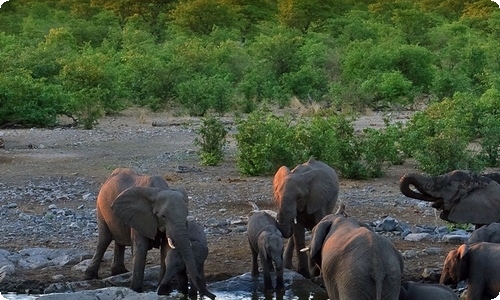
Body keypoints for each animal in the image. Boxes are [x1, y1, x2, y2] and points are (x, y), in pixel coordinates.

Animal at [83, 168, 215, 298]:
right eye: (163, 216)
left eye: (186, 215)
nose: (213, 296)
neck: (159, 191)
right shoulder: (140, 216)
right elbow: (140, 248)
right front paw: (136, 290)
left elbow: (165, 250)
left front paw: (164, 291)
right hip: (100, 207)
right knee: (104, 240)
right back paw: (89, 275)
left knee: (119, 241)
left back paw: (119, 272)